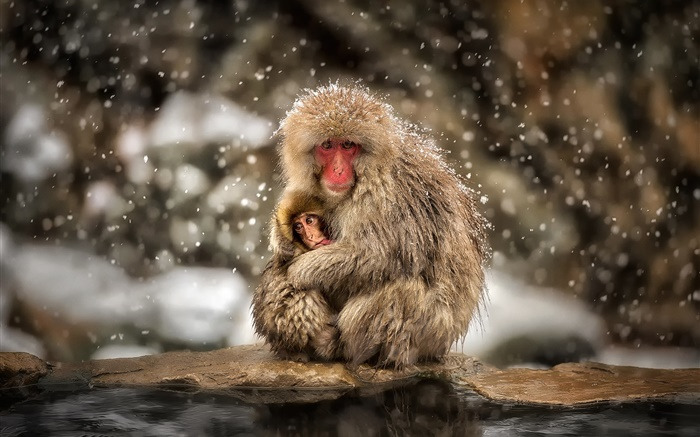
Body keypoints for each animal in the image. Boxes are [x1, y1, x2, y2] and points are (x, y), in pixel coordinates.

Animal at [267, 84, 490, 369]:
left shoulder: (387, 198)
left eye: (348, 145)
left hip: (429, 333)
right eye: (327, 145)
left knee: (403, 290)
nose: (338, 170)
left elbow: (376, 256)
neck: (370, 172)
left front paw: (300, 270)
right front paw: (280, 239)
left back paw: (339, 347)